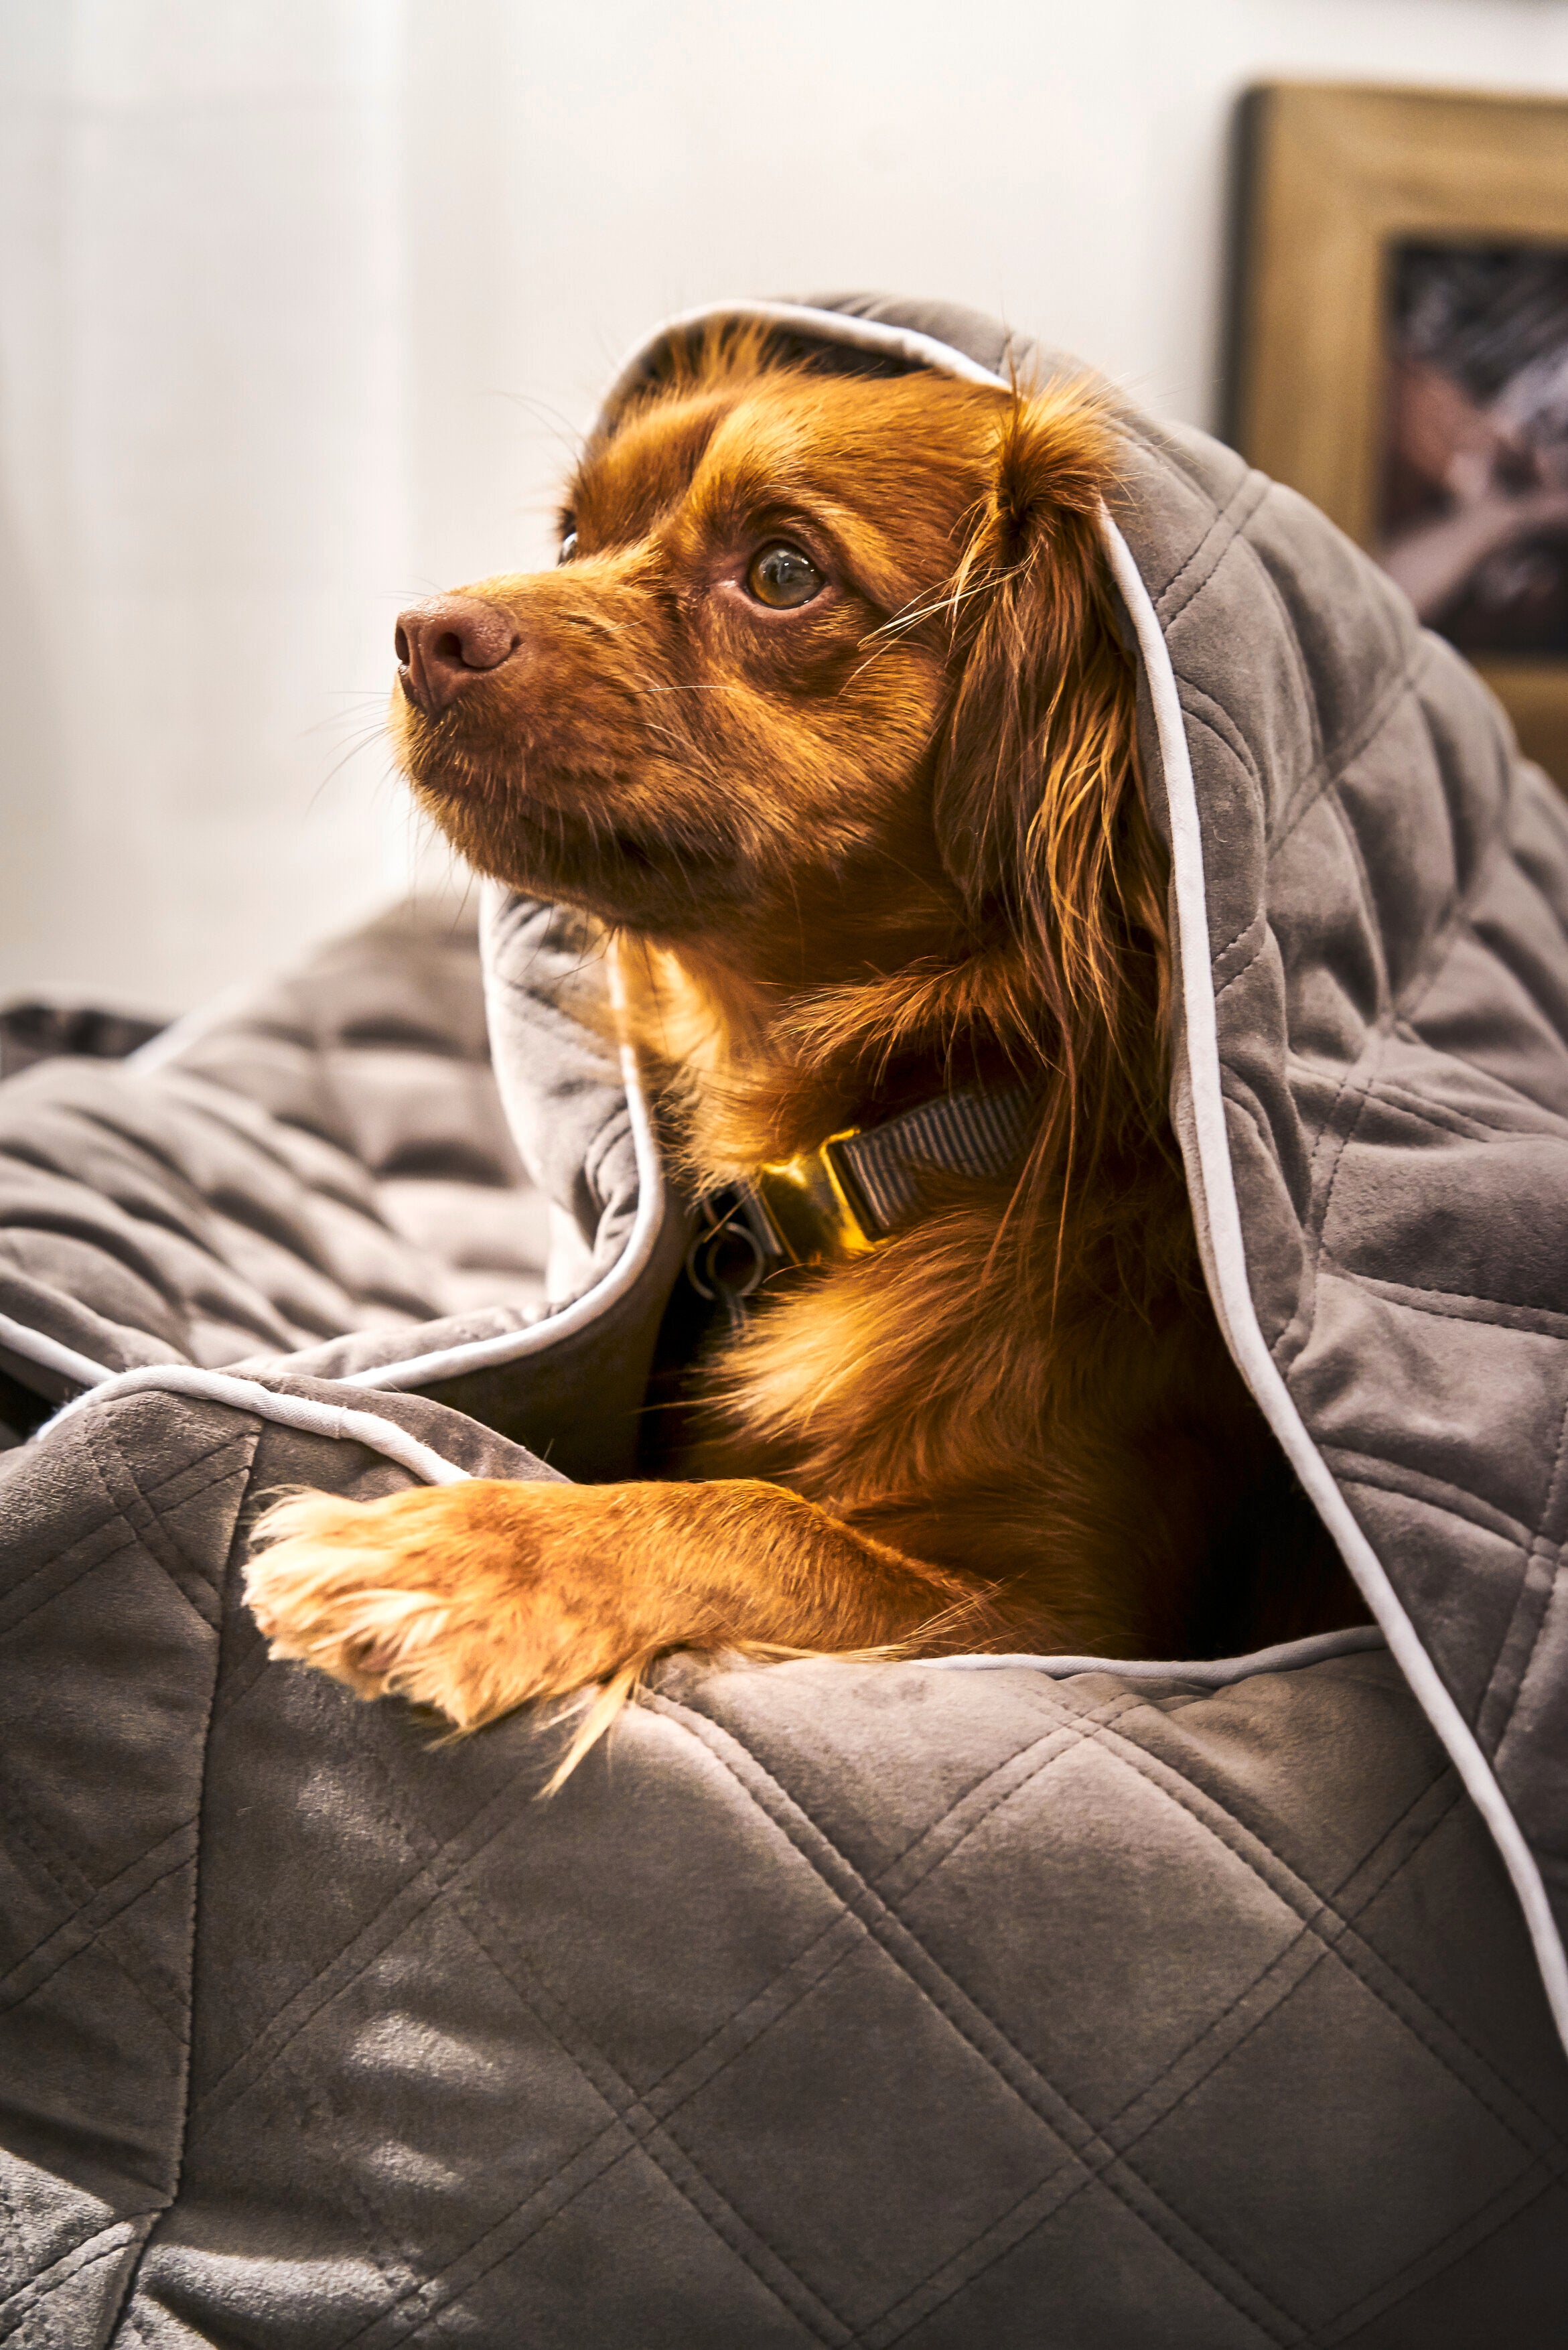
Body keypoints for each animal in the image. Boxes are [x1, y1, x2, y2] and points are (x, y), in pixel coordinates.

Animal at [242, 331, 1354, 1767]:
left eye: (780, 572)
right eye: (574, 532)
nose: (422, 634)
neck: (885, 1141)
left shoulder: (1075, 1626)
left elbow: (759, 1516)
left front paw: (467, 1554)